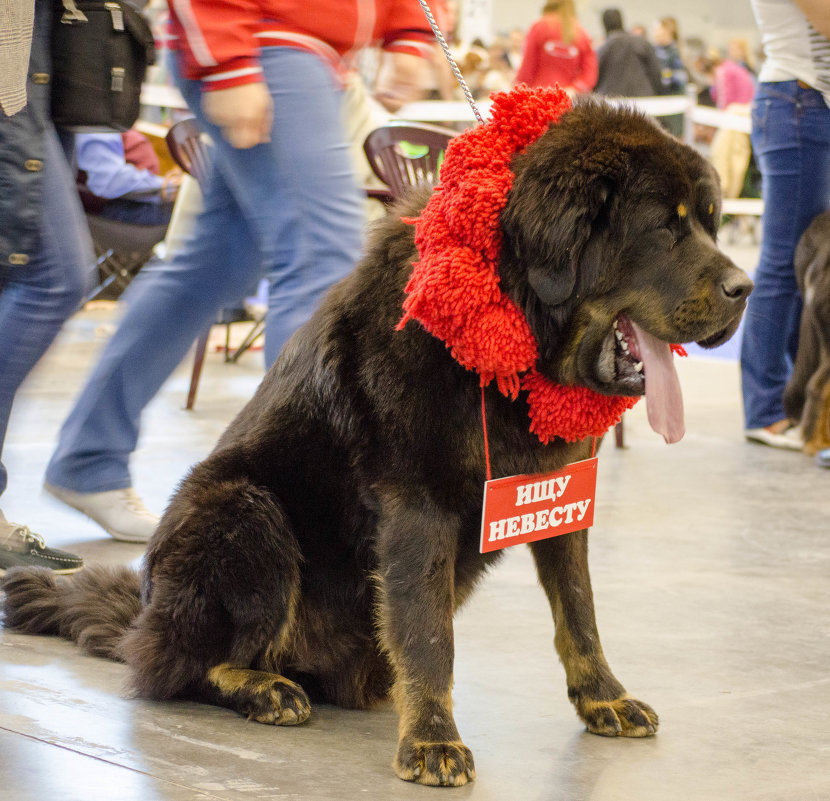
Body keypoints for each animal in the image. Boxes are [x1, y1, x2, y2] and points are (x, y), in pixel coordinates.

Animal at [1, 97, 752, 784]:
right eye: (664, 227)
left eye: (710, 221)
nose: (744, 288)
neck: (507, 314)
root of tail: (142, 609)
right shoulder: (417, 504)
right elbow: (429, 632)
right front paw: (432, 737)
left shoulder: (561, 495)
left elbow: (580, 610)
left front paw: (603, 696)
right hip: (243, 510)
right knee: (182, 664)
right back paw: (263, 688)